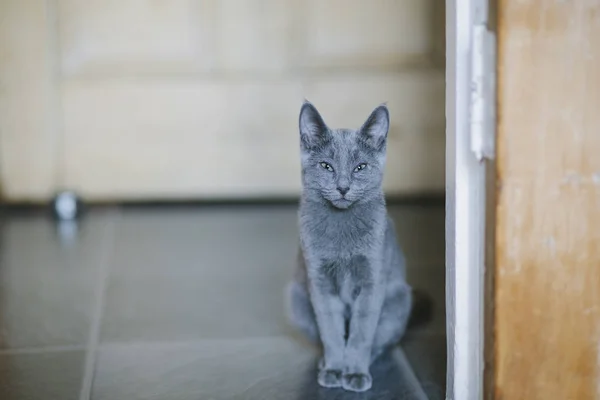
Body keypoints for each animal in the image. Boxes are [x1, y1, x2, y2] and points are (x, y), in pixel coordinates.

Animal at [286, 101, 412, 392]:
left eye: (360, 167)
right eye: (326, 166)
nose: (343, 187)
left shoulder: (372, 281)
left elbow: (361, 333)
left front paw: (354, 372)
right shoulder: (319, 281)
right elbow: (331, 331)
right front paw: (334, 368)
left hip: (399, 301)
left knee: (380, 342)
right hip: (296, 297)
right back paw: (325, 363)